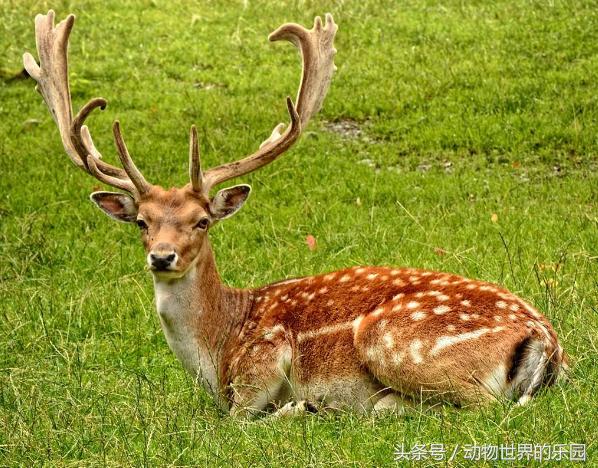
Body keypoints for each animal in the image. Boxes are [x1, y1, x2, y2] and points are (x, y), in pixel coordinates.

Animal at [22, 11, 568, 416]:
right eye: (142, 222)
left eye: (202, 220)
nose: (162, 256)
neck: (218, 348)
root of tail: (546, 339)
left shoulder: (262, 361)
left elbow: (241, 417)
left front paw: (297, 407)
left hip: (394, 340)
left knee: (480, 406)